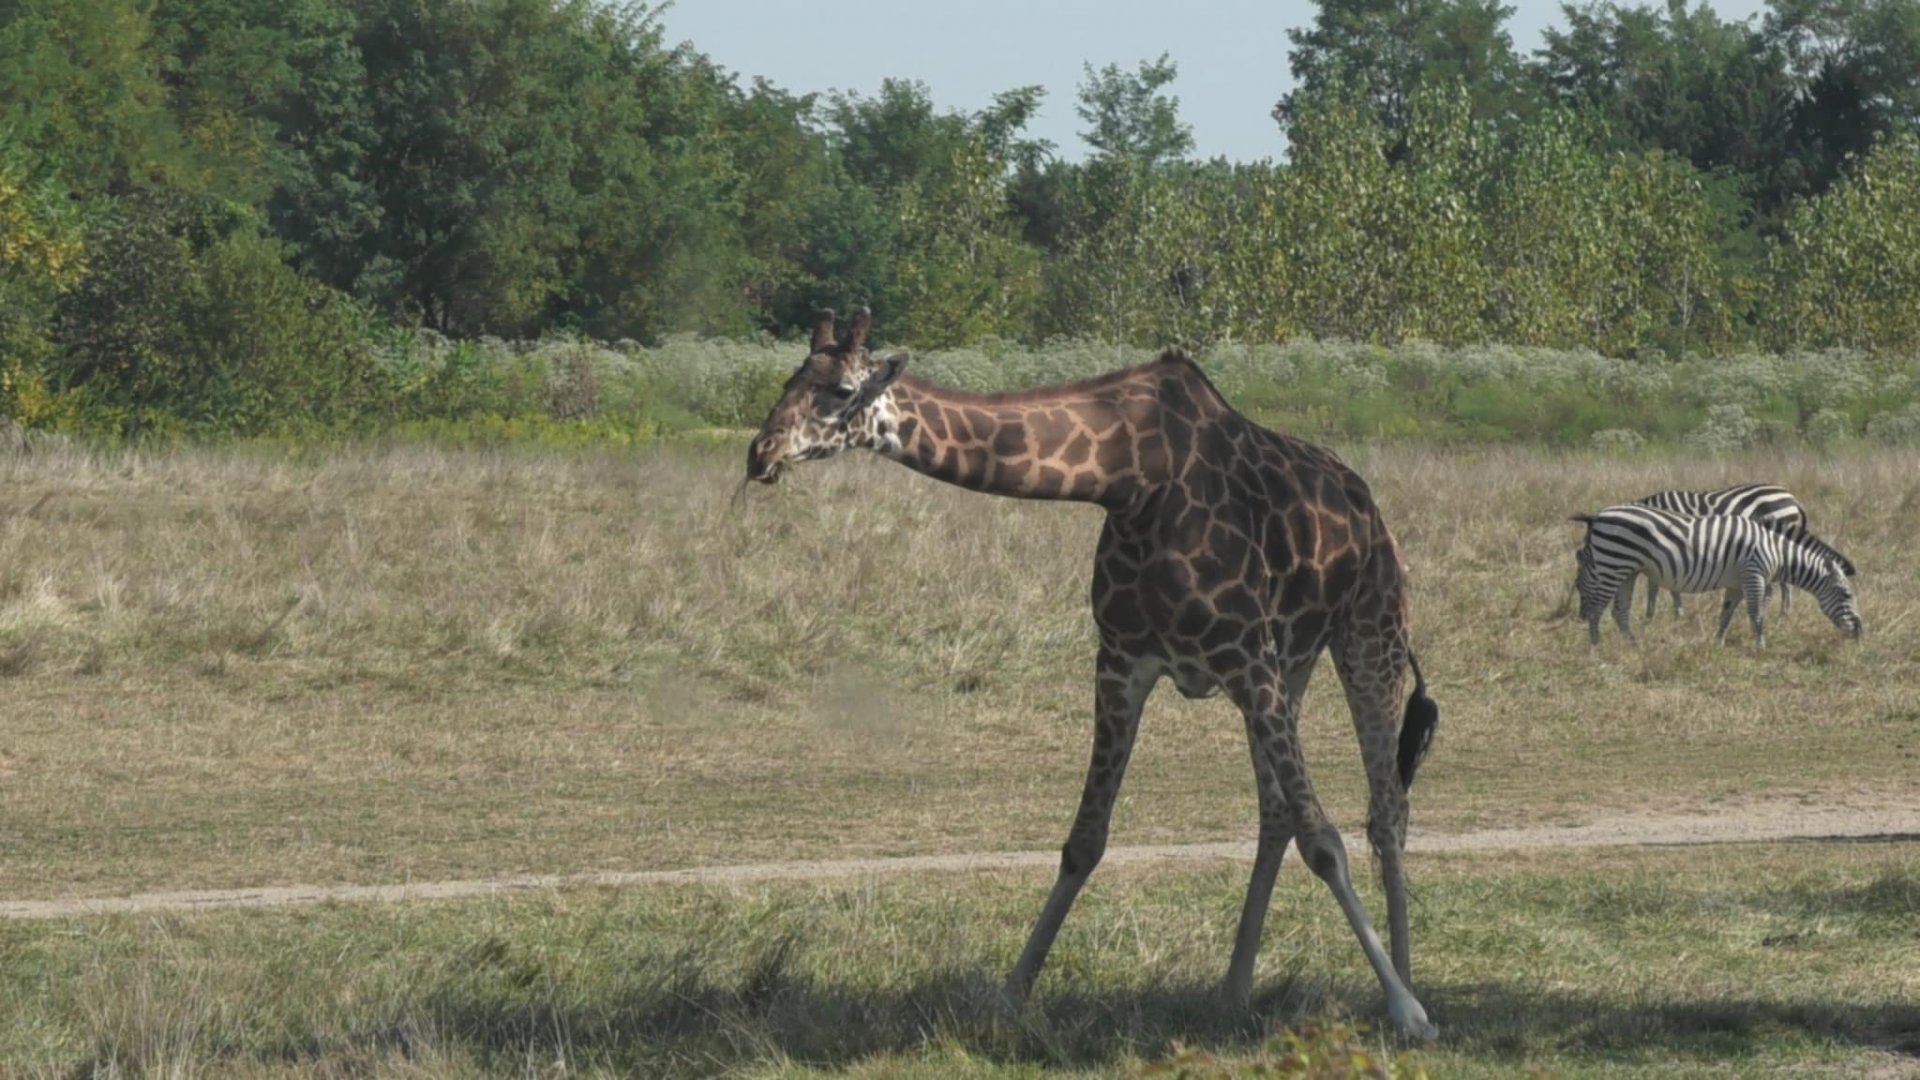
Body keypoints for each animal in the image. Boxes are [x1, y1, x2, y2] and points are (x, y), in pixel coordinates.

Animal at [745, 309, 1442, 1039]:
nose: (760, 452)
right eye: (790, 380)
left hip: (1368, 635)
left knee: (1386, 810)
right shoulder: (1123, 662)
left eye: (841, 391)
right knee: (1276, 812)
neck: (1130, 481)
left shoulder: (1245, 656)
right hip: (1294, 662)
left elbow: (1325, 839)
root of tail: (1371, 511)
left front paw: (1408, 1011)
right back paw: (1234, 989)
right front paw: (1010, 994)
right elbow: (1085, 839)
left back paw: (1404, 981)